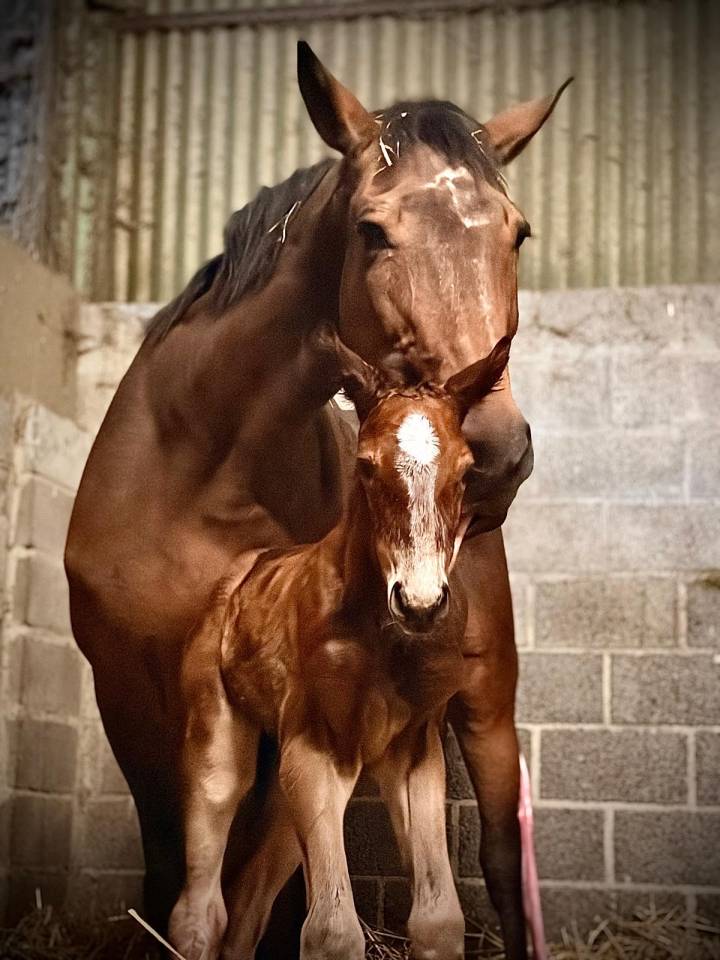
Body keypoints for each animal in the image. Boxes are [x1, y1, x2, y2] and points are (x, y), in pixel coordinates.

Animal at [169, 335, 511, 960]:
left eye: (465, 470)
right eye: (365, 465)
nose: (420, 602)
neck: (384, 638)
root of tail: (242, 569)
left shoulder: (412, 750)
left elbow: (437, 919)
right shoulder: (317, 746)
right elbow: (331, 930)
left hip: (292, 788)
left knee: (249, 900)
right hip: (219, 738)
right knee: (201, 907)